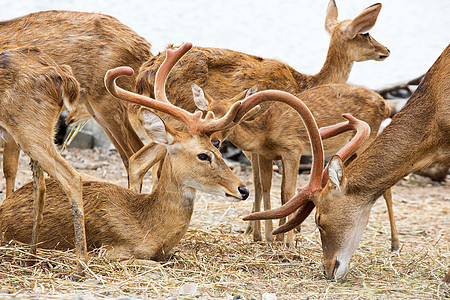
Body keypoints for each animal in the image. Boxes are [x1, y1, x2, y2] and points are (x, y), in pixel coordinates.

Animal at [0, 9, 153, 192]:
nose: (67, 118)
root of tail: (145, 49)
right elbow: (9, 169)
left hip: (107, 102)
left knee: (135, 151)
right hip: (95, 109)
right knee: (129, 155)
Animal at [0, 45, 89, 274]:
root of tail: (61, 75)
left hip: (29, 130)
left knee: (71, 178)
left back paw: (80, 266)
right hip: (35, 132)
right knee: (40, 188)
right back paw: (31, 257)